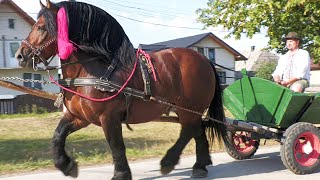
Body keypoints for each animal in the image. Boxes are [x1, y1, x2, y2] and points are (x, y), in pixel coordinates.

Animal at [14, 0, 225, 179]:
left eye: (41, 27)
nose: (20, 55)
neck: (92, 70)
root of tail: (204, 59)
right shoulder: (79, 117)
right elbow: (58, 135)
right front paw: (66, 165)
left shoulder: (109, 117)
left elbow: (116, 146)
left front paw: (121, 174)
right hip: (188, 110)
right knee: (197, 130)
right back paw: (200, 165)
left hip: (189, 108)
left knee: (188, 130)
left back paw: (169, 161)